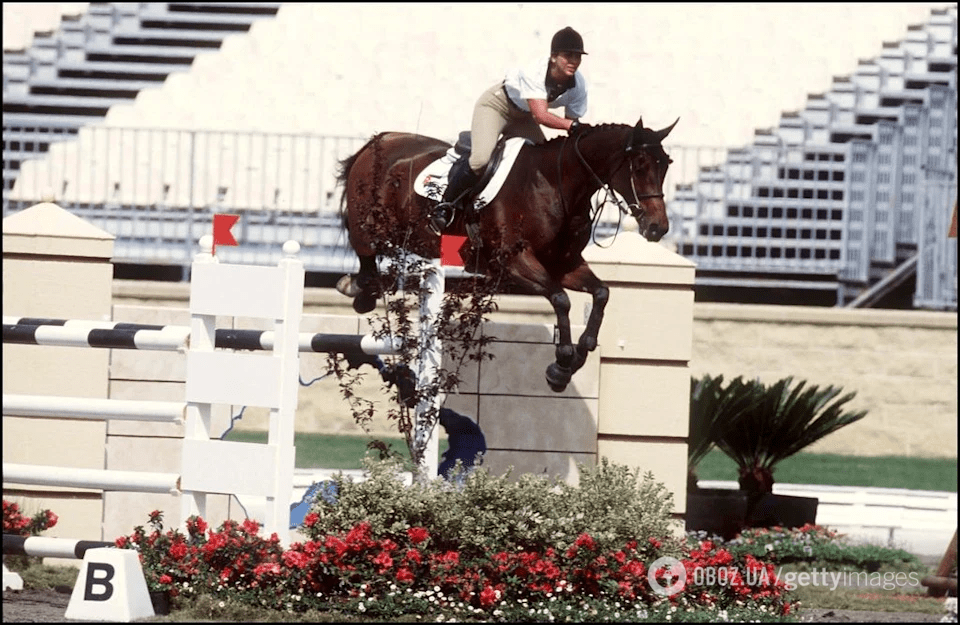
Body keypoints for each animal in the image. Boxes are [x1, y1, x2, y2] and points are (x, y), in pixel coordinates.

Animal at [334, 117, 680, 390]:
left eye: (666, 165)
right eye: (639, 166)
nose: (657, 228)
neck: (556, 184)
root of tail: (380, 140)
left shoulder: (564, 264)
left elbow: (601, 293)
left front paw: (580, 354)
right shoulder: (512, 263)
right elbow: (560, 299)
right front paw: (561, 365)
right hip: (372, 225)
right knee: (366, 253)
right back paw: (359, 290)